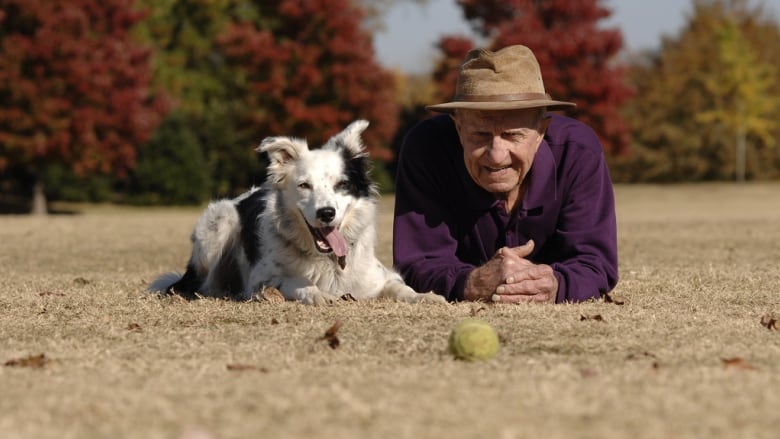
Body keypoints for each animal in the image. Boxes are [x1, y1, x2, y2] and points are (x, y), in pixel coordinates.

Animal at [151, 120, 444, 306]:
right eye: (304, 185)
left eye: (342, 184)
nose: (326, 213)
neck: (328, 262)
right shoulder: (262, 278)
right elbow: (295, 283)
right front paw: (317, 294)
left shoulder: (380, 277)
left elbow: (400, 287)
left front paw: (425, 296)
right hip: (220, 224)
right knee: (205, 284)